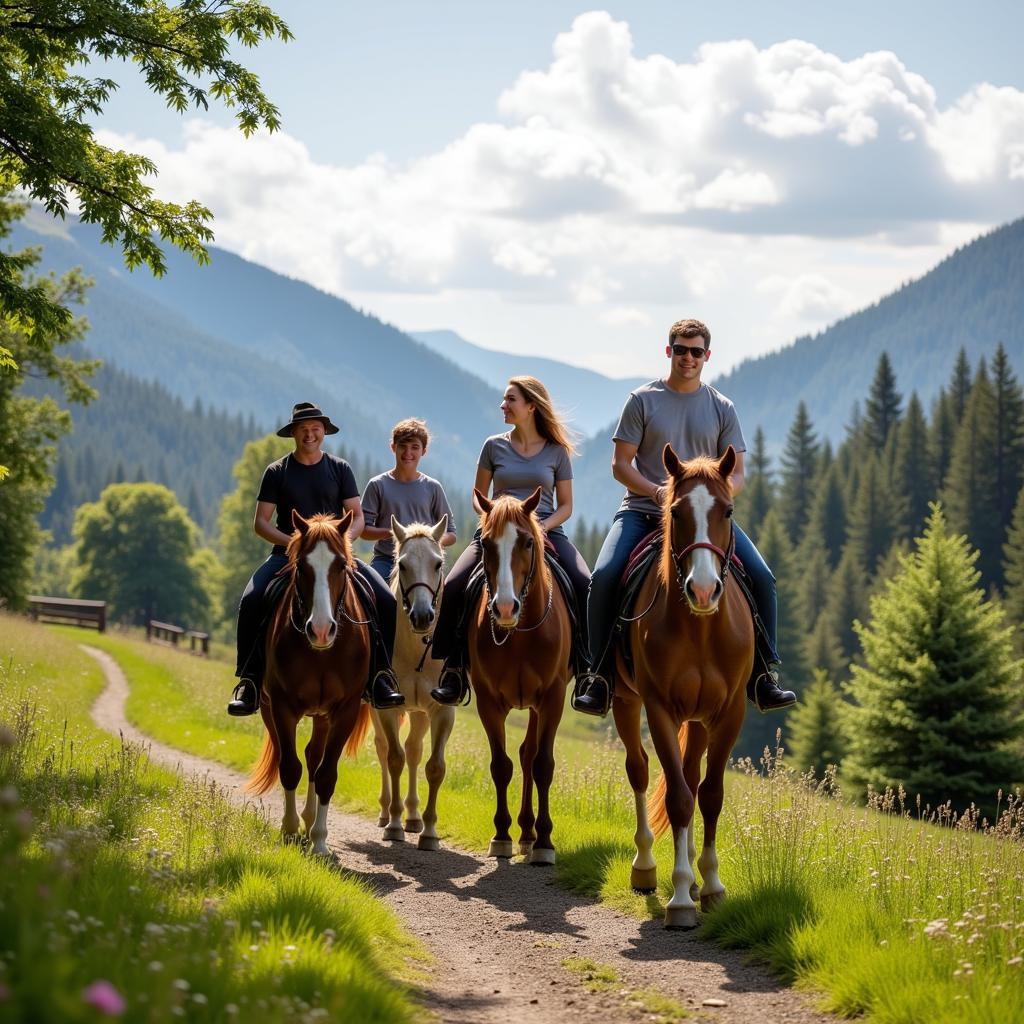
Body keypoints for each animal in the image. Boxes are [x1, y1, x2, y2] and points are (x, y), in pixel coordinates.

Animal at [245, 512, 370, 856]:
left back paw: (311, 819)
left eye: (340, 565)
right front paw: (289, 830)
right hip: (268, 707)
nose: (322, 629)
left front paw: (320, 841)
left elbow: (326, 773)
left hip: (322, 716)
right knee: (292, 754)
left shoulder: (345, 711)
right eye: (302, 565)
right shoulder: (282, 706)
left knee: (315, 756)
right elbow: (290, 766)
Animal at [372, 516, 456, 851]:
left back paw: (413, 817)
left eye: (438, 563)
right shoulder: (387, 708)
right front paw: (394, 826)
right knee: (384, 749)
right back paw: (387, 814)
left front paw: (429, 832)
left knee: (414, 750)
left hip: (420, 713)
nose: (422, 616)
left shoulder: (442, 710)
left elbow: (434, 766)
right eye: (402, 564)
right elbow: (394, 759)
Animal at [468, 487, 573, 864]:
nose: (504, 608)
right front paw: (501, 835)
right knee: (523, 755)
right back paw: (523, 833)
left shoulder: (553, 699)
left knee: (530, 755)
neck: (521, 633)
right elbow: (501, 766)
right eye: (486, 542)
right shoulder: (487, 701)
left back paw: (531, 834)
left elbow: (542, 764)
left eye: (528, 542)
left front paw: (545, 842)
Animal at [610, 444, 757, 933]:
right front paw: (679, 897)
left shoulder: (728, 713)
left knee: (693, 779)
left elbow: (709, 795)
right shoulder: (659, 709)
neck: (701, 629)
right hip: (625, 700)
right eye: (675, 511)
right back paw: (645, 867)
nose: (704, 590)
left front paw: (709, 886)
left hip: (699, 718)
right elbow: (677, 798)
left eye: (727, 510)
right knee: (639, 771)